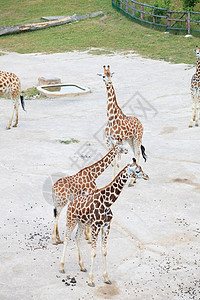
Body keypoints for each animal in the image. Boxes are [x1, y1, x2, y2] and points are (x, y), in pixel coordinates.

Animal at [58, 157, 149, 286]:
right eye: (137, 171)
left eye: (141, 168)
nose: (147, 176)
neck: (107, 203)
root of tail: (72, 201)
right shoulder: (95, 227)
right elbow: (93, 252)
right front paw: (91, 280)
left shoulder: (106, 226)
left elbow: (104, 251)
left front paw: (106, 278)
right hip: (71, 219)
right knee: (66, 238)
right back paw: (62, 267)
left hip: (81, 223)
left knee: (77, 238)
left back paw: (82, 266)